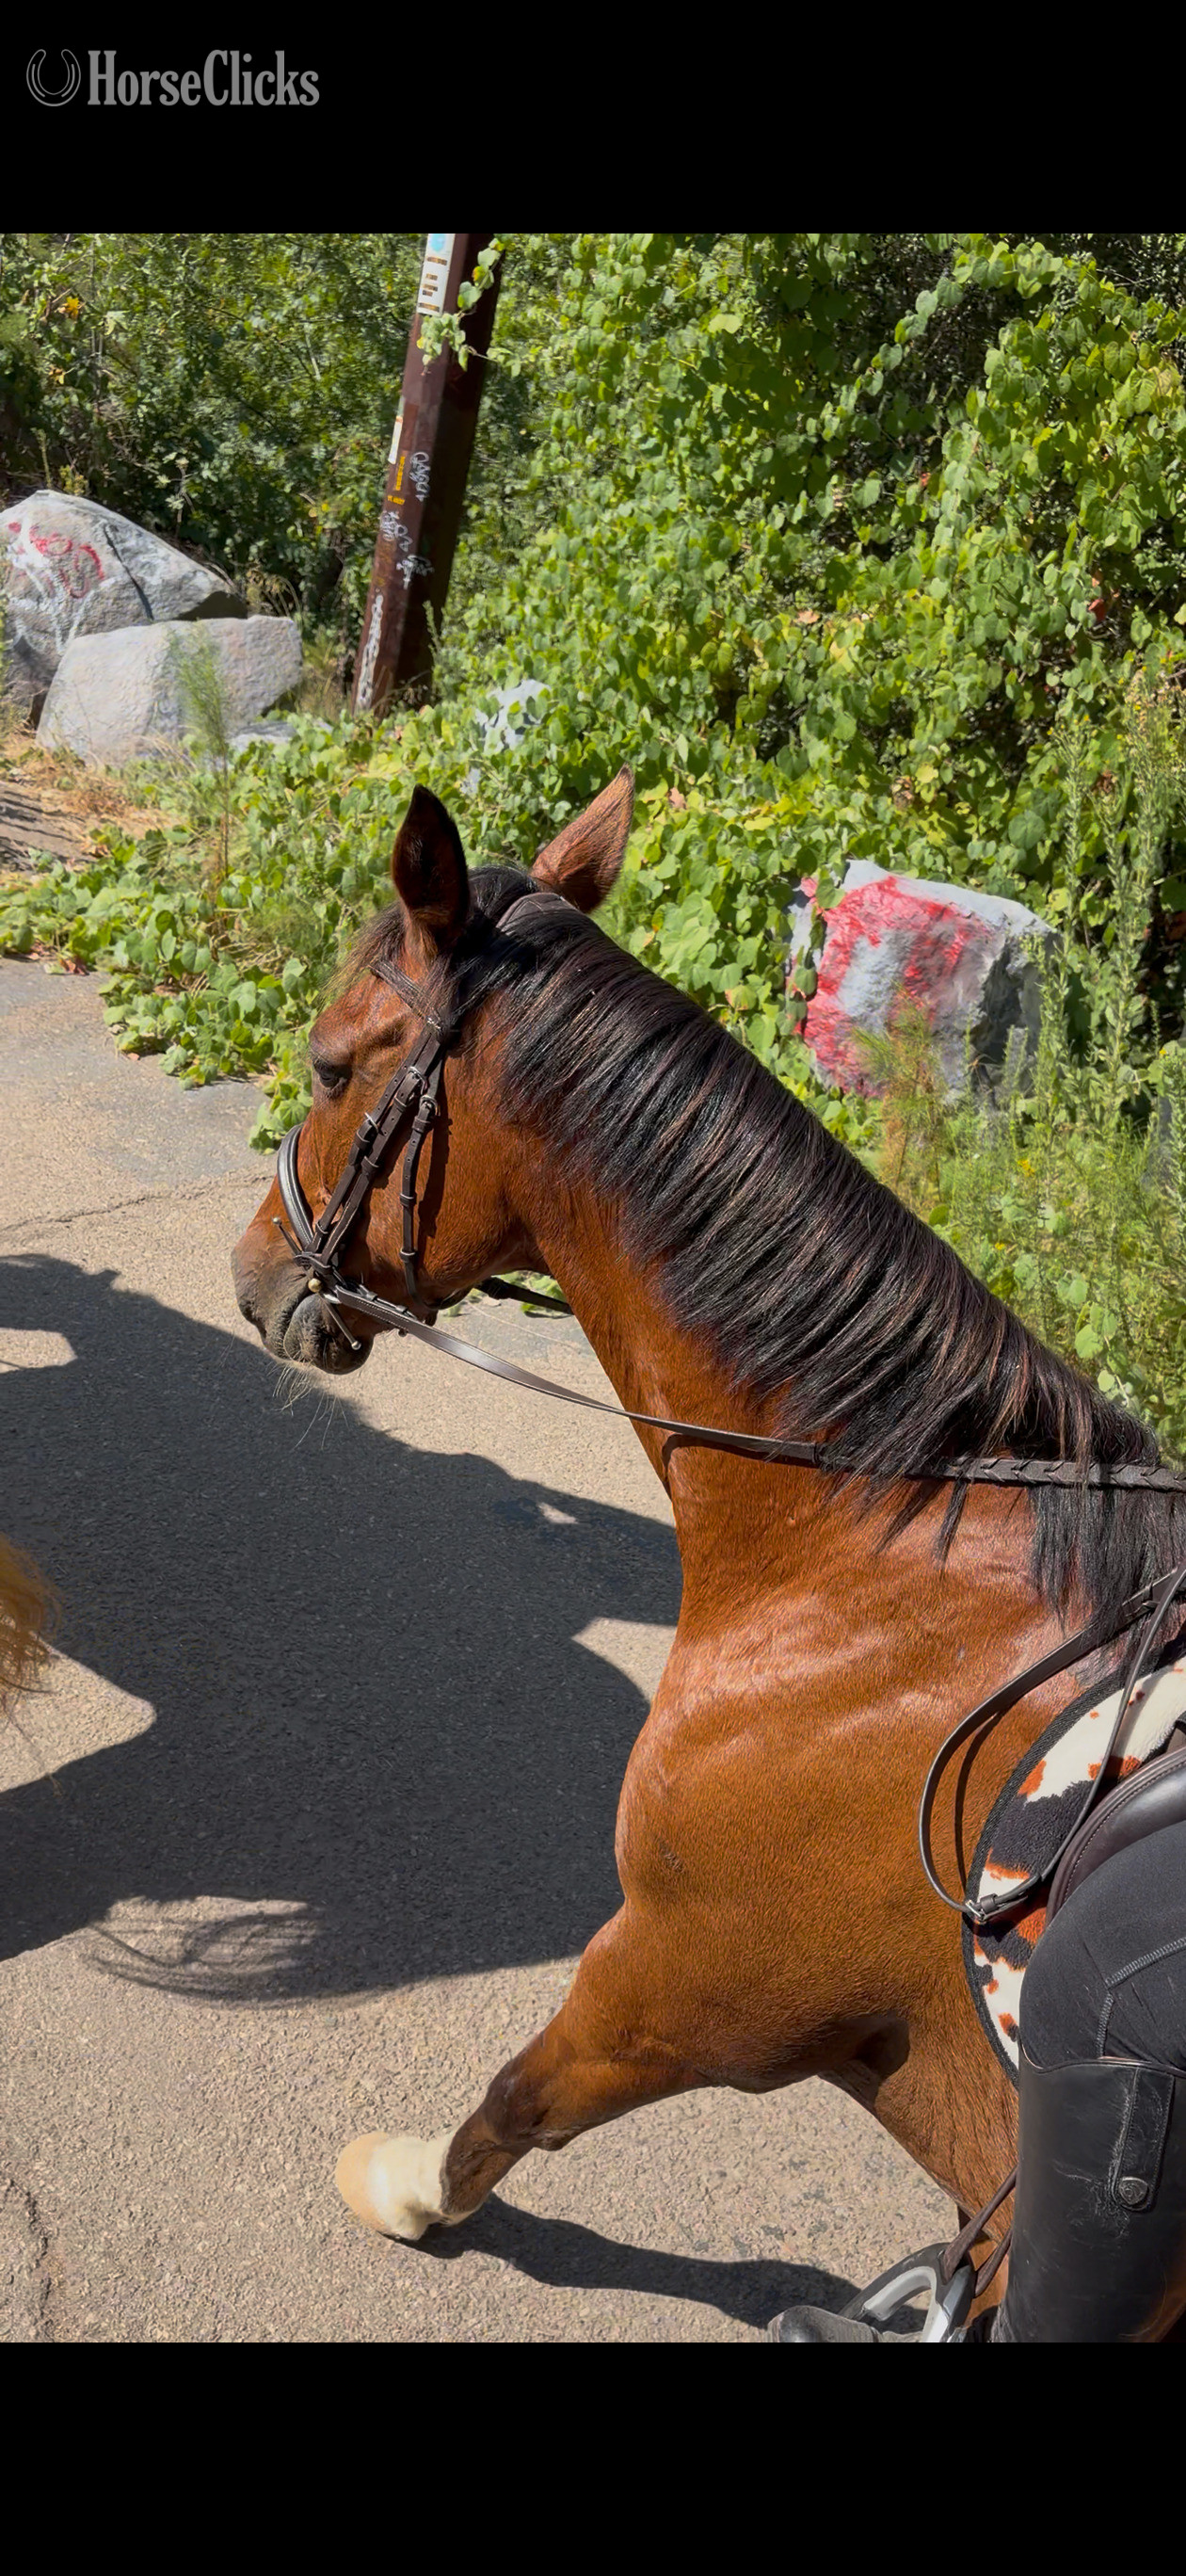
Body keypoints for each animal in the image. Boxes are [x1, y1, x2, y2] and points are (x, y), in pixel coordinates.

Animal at [232, 769, 1186, 2307]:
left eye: (330, 1068)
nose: (257, 1271)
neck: (881, 1570)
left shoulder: (675, 1983)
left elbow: (516, 2099)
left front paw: (406, 2189)